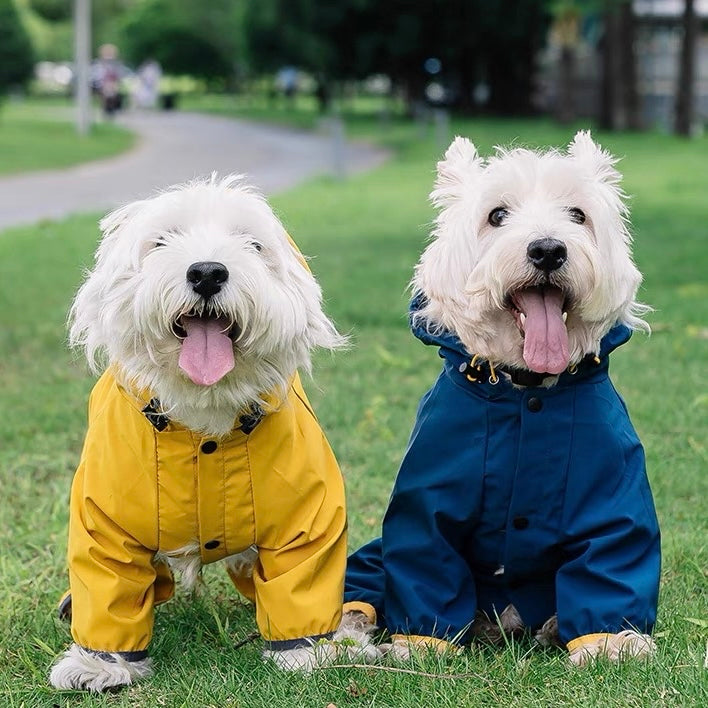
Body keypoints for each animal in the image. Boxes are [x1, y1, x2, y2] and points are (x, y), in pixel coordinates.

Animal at [49, 176, 376, 692]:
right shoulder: (103, 519)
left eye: (252, 244)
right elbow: (108, 584)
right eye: (162, 241)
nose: (206, 272)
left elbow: (302, 577)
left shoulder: (309, 516)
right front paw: (99, 664)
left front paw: (310, 652)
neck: (203, 420)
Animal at [346, 131, 660, 664]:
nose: (548, 249)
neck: (527, 391)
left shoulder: (612, 494)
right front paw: (422, 647)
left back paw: (550, 626)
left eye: (577, 214)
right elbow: (425, 562)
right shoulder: (426, 505)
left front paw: (611, 643)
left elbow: (612, 556)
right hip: (372, 556)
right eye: (496, 215)